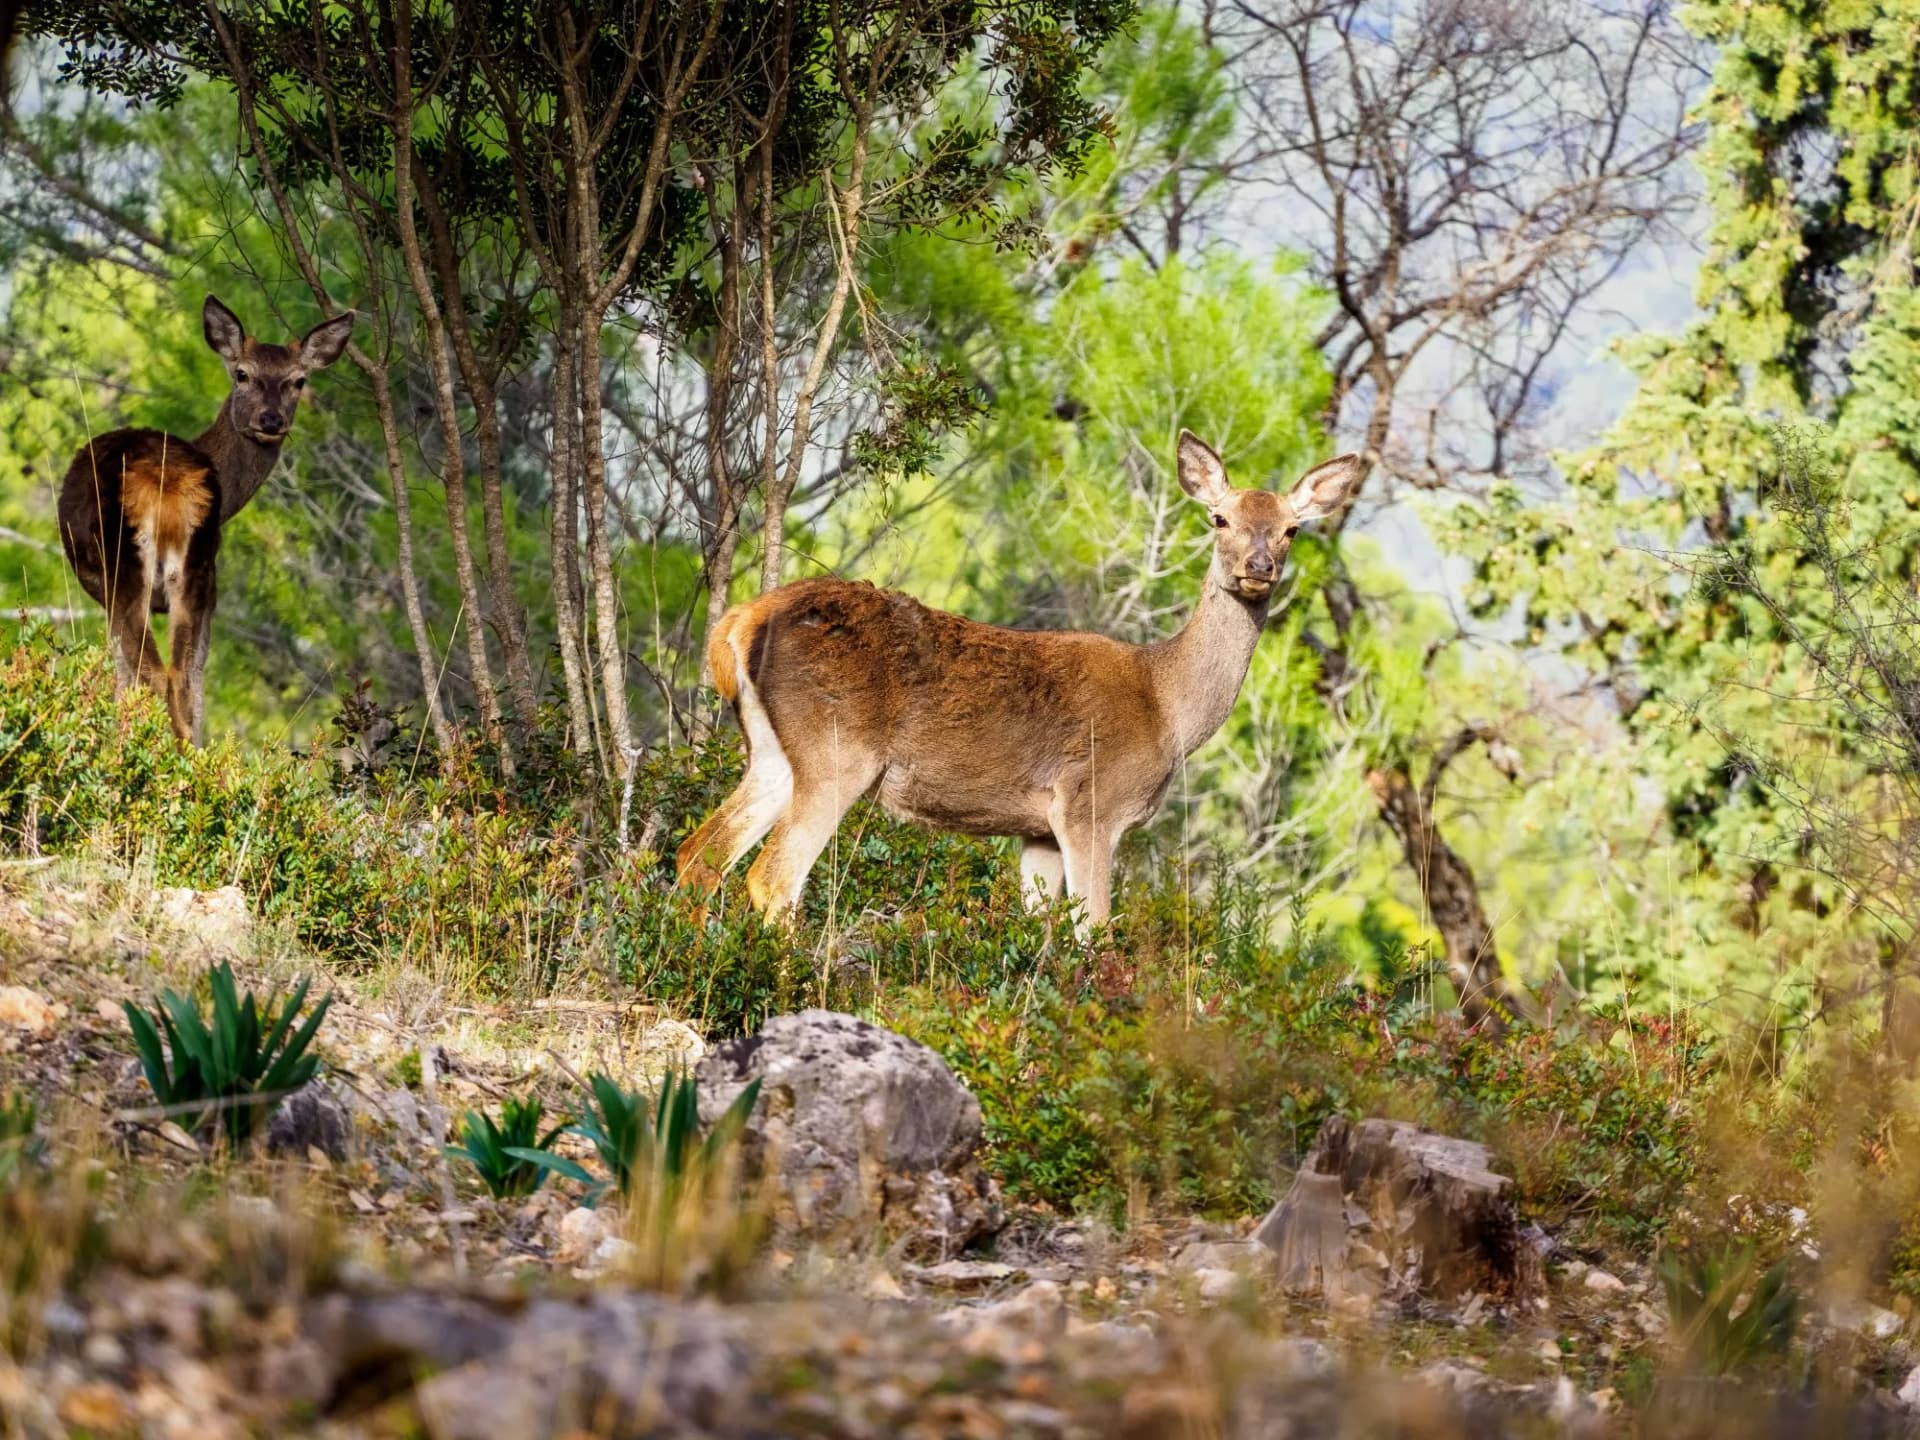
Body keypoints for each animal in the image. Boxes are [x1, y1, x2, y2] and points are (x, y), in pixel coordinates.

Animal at [57, 294, 354, 744]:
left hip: (127, 570)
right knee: (182, 677)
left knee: (157, 674)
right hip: (196, 572)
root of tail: (166, 482)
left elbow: (124, 679)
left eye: (299, 380)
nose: (271, 420)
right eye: (242, 373)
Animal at [676, 431, 1367, 929]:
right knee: (771, 878)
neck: (1169, 710)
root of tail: (742, 618)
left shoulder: (1037, 827)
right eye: (1219, 518)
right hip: (838, 747)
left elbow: (1038, 929)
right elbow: (1094, 932)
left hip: (772, 750)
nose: (1260, 566)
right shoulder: (1091, 804)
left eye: (1292, 528)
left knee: (699, 854)